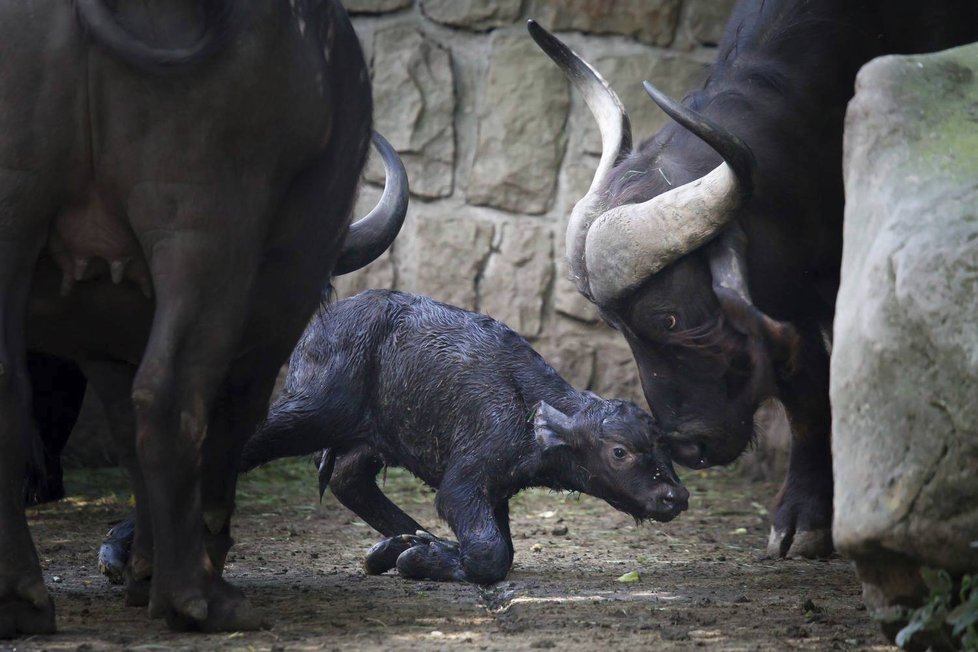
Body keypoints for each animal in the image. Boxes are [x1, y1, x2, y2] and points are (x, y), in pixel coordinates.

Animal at [0, 0, 404, 636]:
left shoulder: (103, 342)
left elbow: (127, 437)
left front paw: (142, 569)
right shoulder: (270, 320)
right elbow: (230, 422)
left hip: (17, 203)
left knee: (13, 394)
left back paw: (23, 598)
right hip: (207, 224)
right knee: (175, 397)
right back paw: (200, 596)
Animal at [241, 288, 688, 584]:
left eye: (661, 446)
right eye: (620, 452)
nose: (675, 496)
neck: (524, 409)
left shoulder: (496, 491)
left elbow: (502, 548)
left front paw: (414, 548)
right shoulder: (463, 483)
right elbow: (490, 553)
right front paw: (417, 558)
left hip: (373, 437)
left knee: (347, 477)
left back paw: (405, 538)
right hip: (314, 410)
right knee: (259, 435)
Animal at [528, 2, 976, 556]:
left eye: (669, 317)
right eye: (617, 327)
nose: (686, 445)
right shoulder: (787, 297)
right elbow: (806, 390)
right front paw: (805, 514)